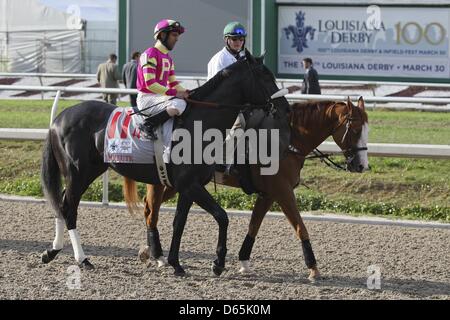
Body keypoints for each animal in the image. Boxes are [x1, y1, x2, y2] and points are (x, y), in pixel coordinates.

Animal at [40, 49, 290, 276]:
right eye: (265, 77)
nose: (285, 108)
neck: (199, 122)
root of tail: (59, 119)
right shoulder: (189, 184)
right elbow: (222, 216)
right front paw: (218, 263)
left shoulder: (189, 186)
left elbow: (179, 222)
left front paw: (175, 263)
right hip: (77, 172)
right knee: (68, 208)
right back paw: (82, 259)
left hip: (90, 170)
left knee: (63, 204)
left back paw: (52, 251)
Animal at [127, 97, 370, 280]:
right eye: (355, 128)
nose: (361, 165)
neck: (285, 139)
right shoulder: (283, 192)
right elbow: (300, 227)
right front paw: (313, 267)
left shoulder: (269, 194)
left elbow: (254, 226)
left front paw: (243, 261)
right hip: (169, 184)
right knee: (151, 211)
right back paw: (157, 255)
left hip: (179, 185)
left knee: (150, 210)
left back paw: (151, 252)